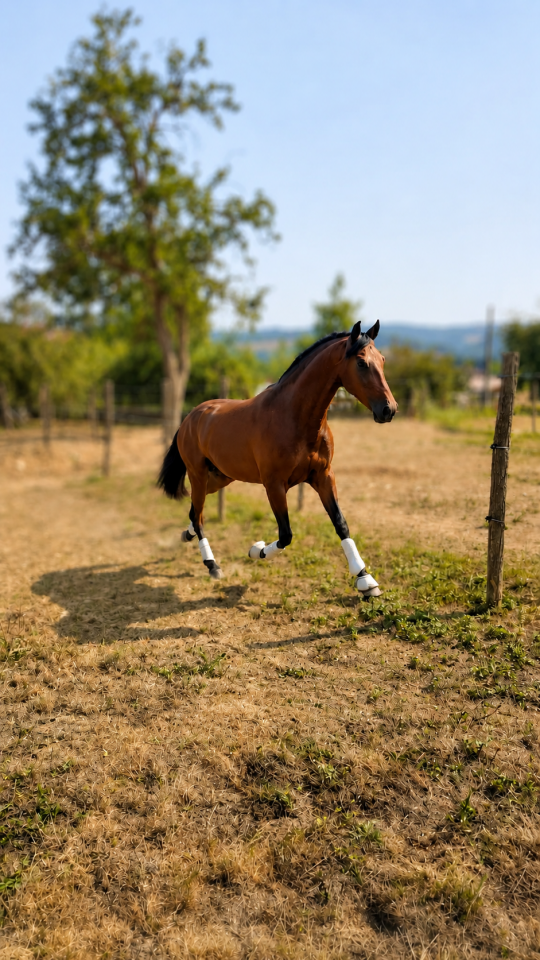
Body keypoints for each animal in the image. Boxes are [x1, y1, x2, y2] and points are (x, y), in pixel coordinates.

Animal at [158, 319, 397, 597]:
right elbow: (286, 534)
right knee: (197, 515)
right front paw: (256, 550)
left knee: (195, 512)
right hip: (197, 475)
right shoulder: (274, 485)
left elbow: (340, 523)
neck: (293, 417)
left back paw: (187, 537)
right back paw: (212, 565)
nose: (389, 410)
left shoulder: (324, 476)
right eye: (361, 363)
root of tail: (190, 417)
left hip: (220, 478)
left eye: (382, 359)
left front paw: (365, 580)